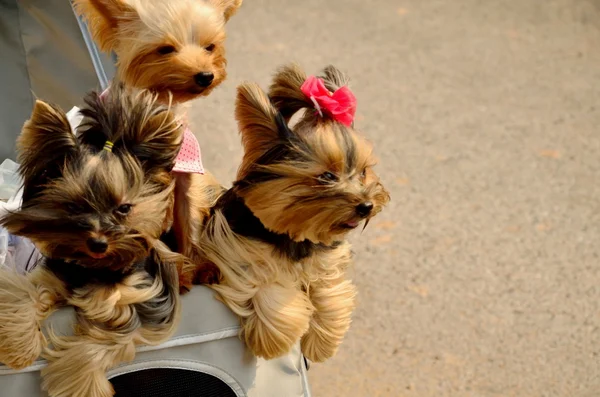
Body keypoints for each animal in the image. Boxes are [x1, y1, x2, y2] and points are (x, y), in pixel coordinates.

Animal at [180, 62, 392, 362]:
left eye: (363, 172)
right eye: (327, 176)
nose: (366, 206)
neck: (295, 235)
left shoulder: (325, 258)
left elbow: (329, 290)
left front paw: (321, 342)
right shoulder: (233, 252)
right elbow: (267, 288)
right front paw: (273, 340)